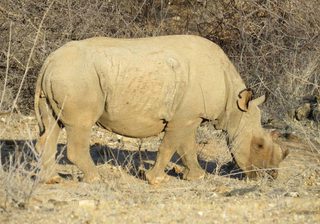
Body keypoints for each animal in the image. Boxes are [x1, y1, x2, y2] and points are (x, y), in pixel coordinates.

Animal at [33, 34, 288, 183]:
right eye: (259, 144)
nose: (271, 176)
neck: (234, 106)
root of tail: (49, 62)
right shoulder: (184, 117)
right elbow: (170, 146)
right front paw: (155, 179)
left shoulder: (190, 116)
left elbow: (187, 148)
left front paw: (196, 176)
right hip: (77, 77)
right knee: (79, 126)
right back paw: (96, 179)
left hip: (64, 75)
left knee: (52, 126)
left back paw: (51, 180)